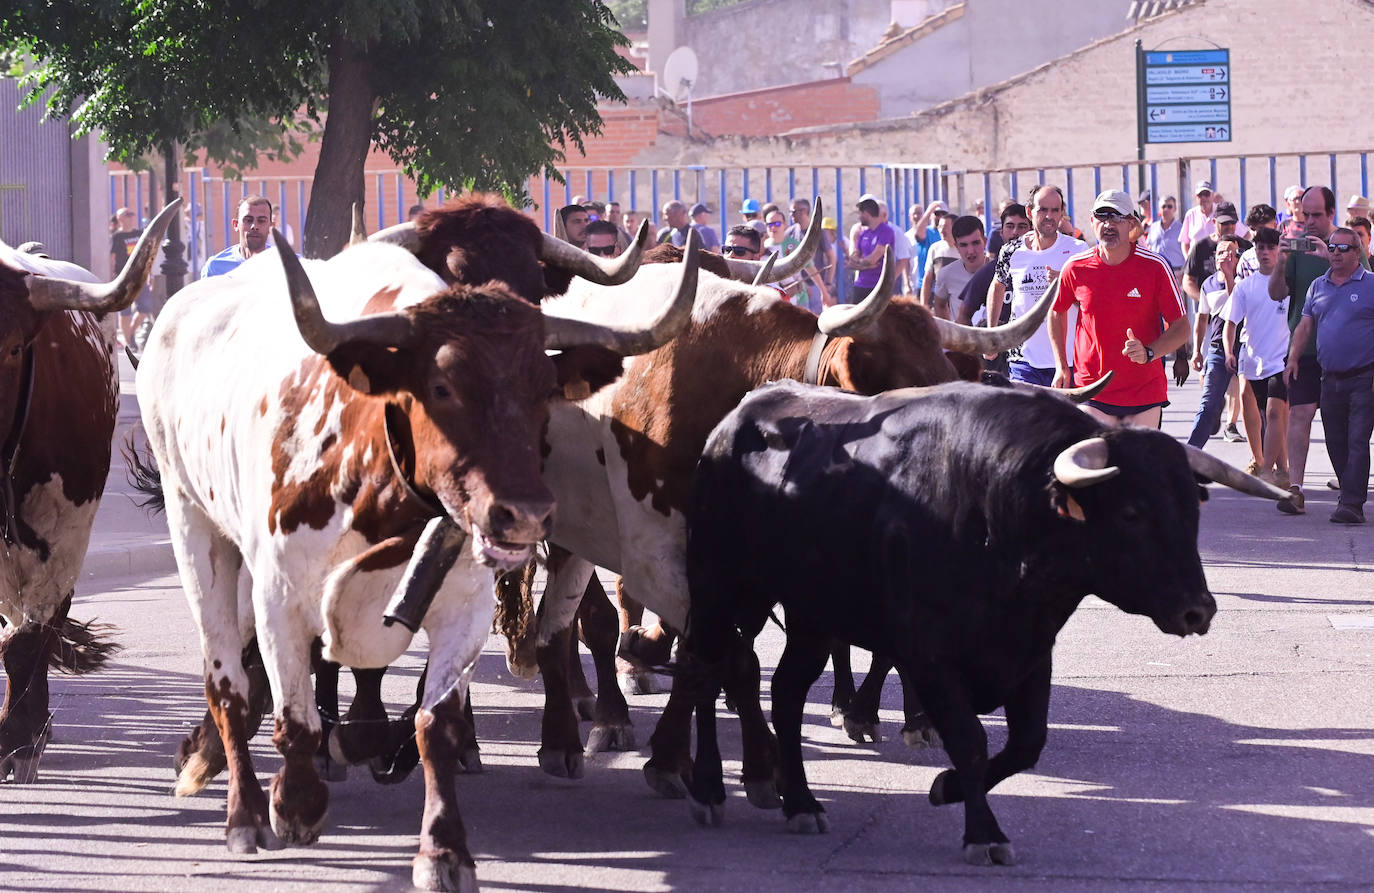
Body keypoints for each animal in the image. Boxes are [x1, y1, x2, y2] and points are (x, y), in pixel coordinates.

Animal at [676, 381, 1264, 862]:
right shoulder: (930, 655)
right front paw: (984, 833)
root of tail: (733, 420)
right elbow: (971, 739)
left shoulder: (1031, 654)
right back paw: (707, 788)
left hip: (811, 614)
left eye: (1191, 508)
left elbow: (1026, 744)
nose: (1198, 609)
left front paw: (946, 788)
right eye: (1132, 512)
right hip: (718, 588)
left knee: (786, 689)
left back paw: (800, 801)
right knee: (705, 670)